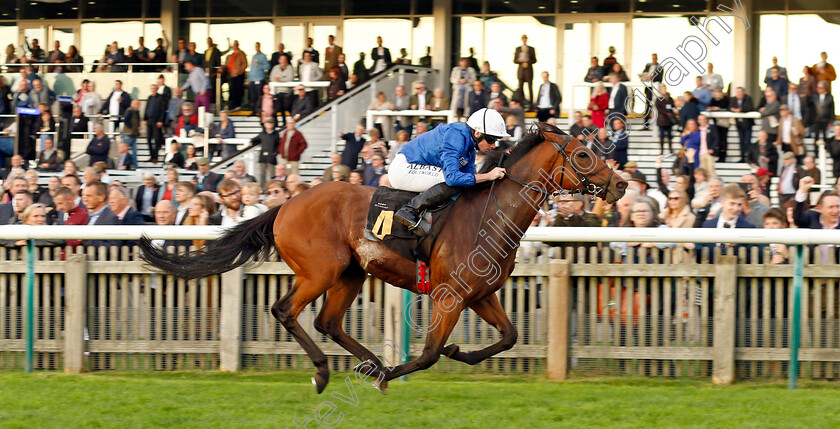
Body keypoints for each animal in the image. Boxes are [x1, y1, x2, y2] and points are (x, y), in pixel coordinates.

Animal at [139, 120, 624, 392]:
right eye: (583, 154)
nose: (620, 184)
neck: (490, 212)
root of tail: (287, 203)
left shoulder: (481, 294)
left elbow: (508, 337)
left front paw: (458, 353)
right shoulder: (449, 295)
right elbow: (428, 353)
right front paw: (397, 373)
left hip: (351, 274)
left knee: (327, 322)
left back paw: (368, 364)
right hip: (320, 271)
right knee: (286, 310)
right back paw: (326, 372)